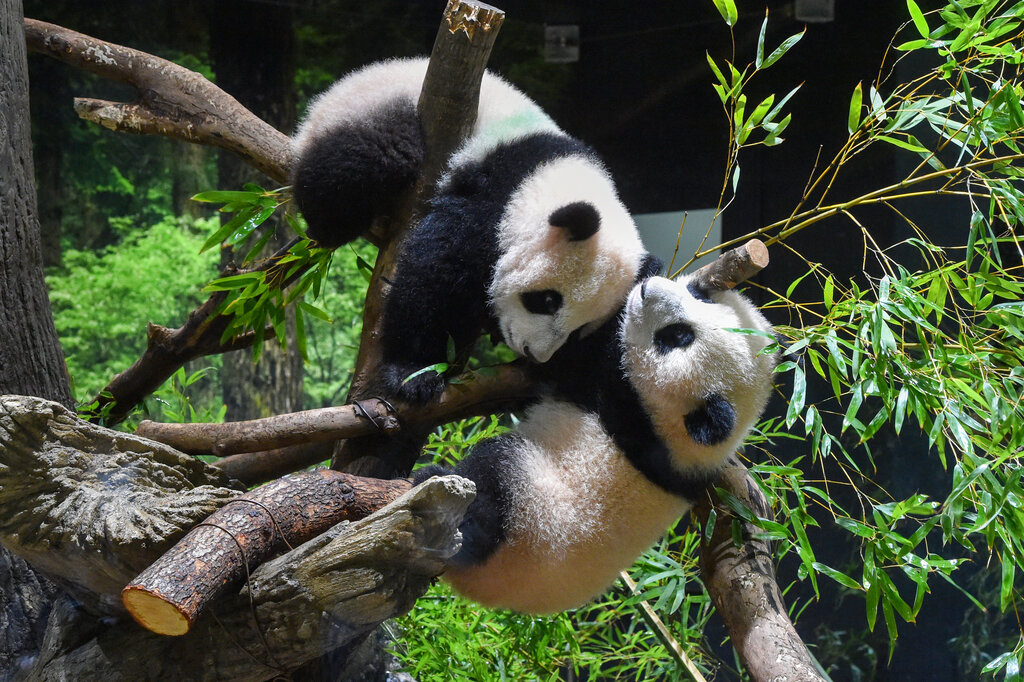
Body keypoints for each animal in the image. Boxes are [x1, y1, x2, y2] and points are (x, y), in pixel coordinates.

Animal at [291, 58, 647, 401]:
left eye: (578, 330)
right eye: (547, 301)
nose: (534, 353)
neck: (552, 177)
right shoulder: (495, 191)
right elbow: (437, 270)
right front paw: (415, 372)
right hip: (371, 110)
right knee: (366, 159)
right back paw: (332, 225)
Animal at [413, 272, 778, 613]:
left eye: (676, 337)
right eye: (698, 295)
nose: (647, 289)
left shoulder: (624, 406)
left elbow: (570, 362)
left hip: (527, 516)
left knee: (490, 487)